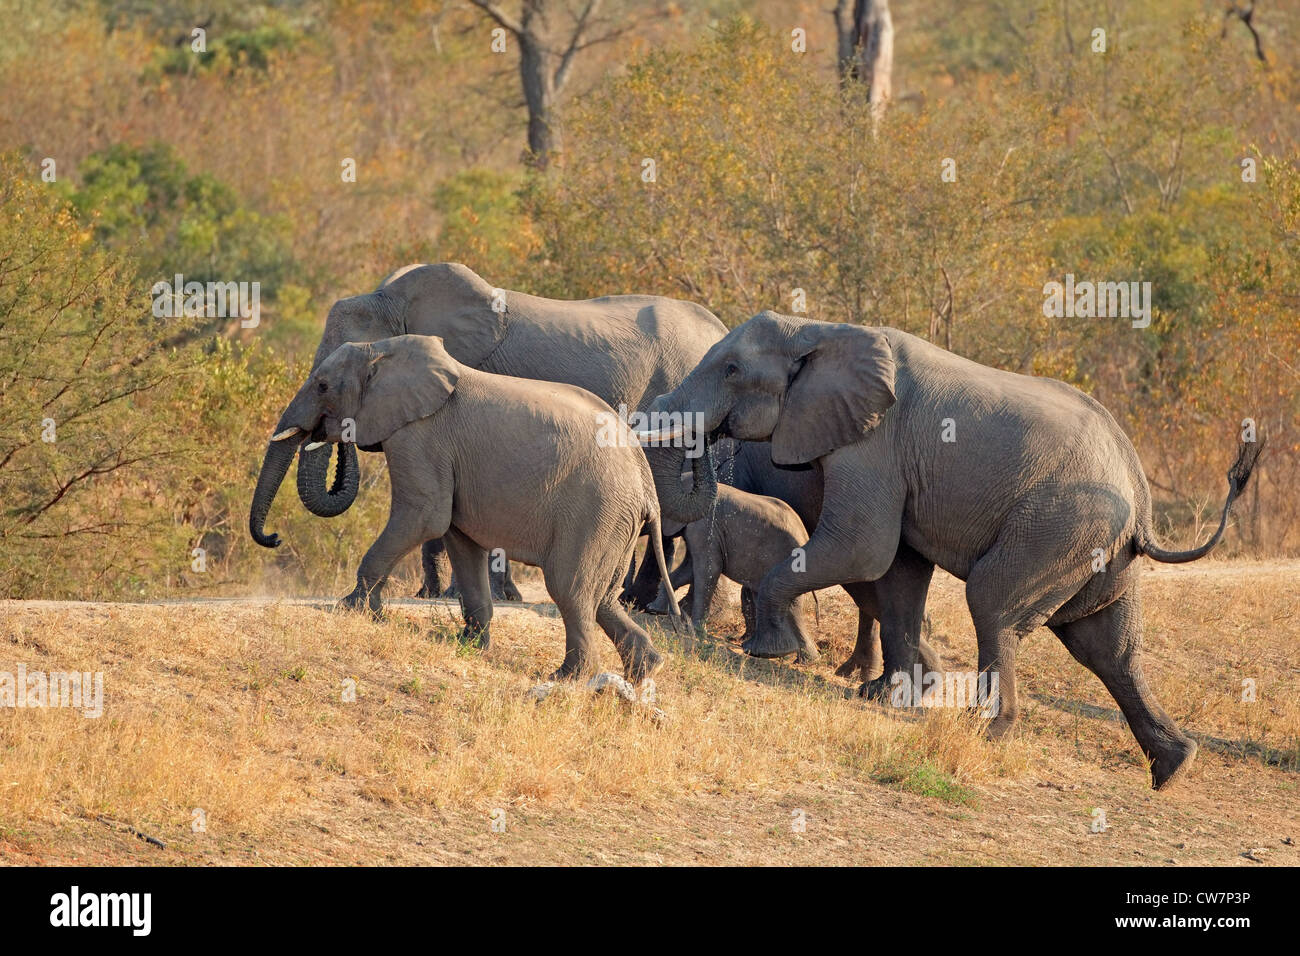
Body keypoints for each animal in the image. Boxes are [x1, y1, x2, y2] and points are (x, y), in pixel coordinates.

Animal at [248, 261, 728, 606]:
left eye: (326, 383)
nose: (274, 539)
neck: (393, 298)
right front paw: (435, 595)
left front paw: (487, 596)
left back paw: (635, 602)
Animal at [254, 332, 681, 686]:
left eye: (322, 385)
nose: (274, 538)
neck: (383, 348)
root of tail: (644, 480)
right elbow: (459, 538)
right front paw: (470, 645)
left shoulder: (421, 434)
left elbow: (424, 516)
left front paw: (351, 607)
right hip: (616, 522)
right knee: (603, 597)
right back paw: (647, 670)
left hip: (595, 512)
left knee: (570, 587)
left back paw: (568, 678)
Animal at [639, 314, 1258, 790]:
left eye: (731, 370)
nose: (702, 441)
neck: (818, 329)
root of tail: (1142, 501)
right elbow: (898, 573)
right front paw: (883, 698)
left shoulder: (873, 445)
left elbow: (862, 548)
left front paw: (767, 653)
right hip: (1098, 550)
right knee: (1106, 646)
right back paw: (1172, 769)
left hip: (1059, 526)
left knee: (995, 604)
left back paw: (985, 730)